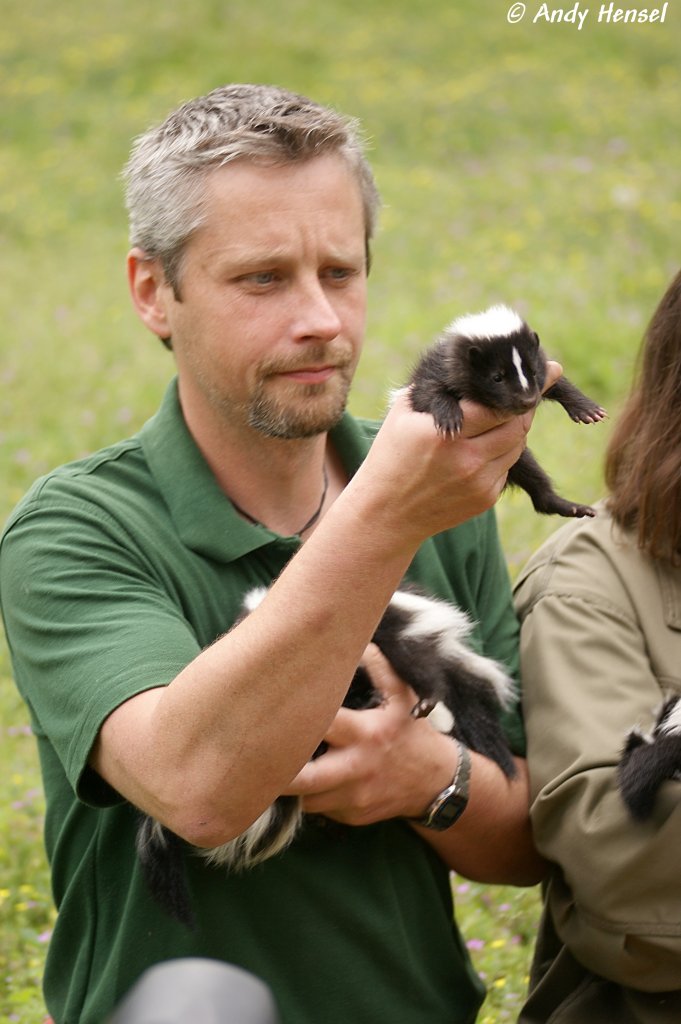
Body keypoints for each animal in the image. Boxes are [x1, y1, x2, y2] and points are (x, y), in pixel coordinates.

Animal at [403, 299, 606, 516]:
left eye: (533, 372)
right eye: (497, 377)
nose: (528, 400)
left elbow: (558, 383)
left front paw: (587, 409)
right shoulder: (438, 370)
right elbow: (427, 392)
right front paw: (449, 419)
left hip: (520, 458)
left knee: (538, 486)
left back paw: (570, 507)